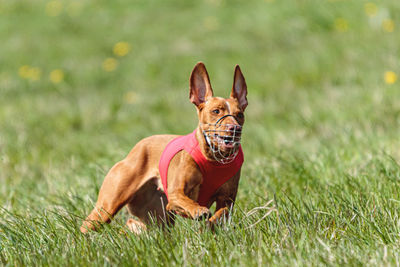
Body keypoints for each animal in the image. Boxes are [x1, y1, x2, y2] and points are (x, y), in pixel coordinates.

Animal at [80, 62, 248, 234]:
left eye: (240, 114)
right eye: (216, 111)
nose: (235, 128)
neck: (214, 159)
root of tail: (135, 149)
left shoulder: (227, 199)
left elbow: (221, 214)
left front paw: (210, 224)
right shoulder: (175, 196)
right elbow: (188, 203)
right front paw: (198, 211)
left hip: (157, 219)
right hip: (107, 207)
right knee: (87, 225)